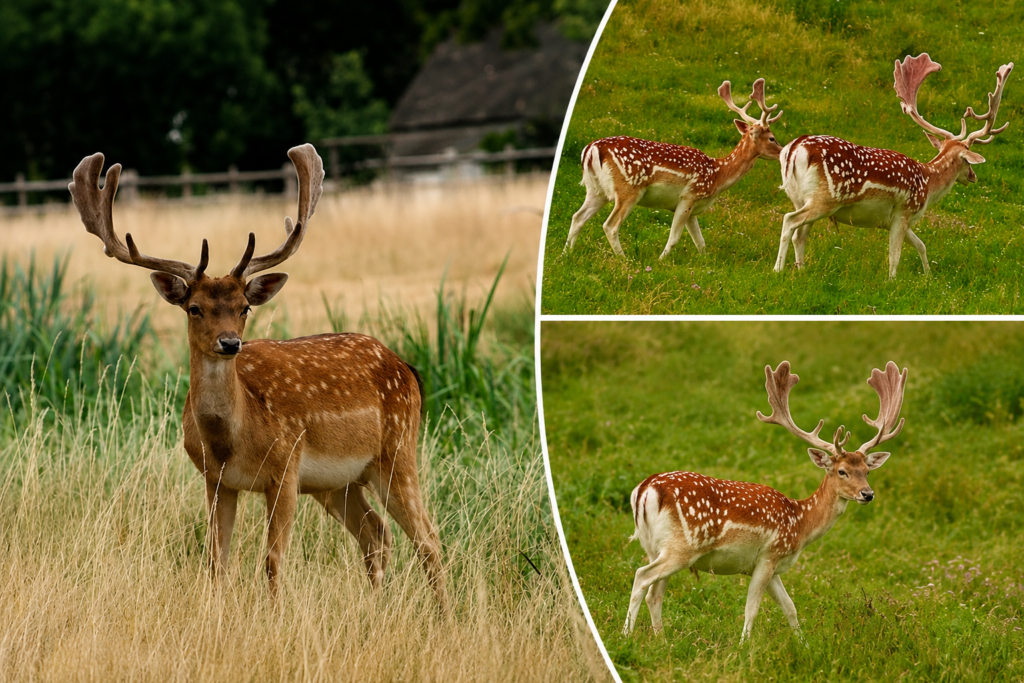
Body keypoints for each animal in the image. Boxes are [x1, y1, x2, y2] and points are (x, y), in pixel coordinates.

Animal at [67, 144, 447, 610]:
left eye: (244, 307)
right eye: (194, 308)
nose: (230, 342)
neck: (231, 439)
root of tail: (406, 368)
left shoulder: (285, 466)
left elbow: (271, 560)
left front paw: (275, 614)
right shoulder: (216, 480)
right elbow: (216, 560)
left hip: (397, 450)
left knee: (428, 538)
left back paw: (444, 615)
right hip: (336, 482)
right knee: (376, 532)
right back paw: (375, 607)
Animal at [563, 78, 784, 260]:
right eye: (772, 138)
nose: (783, 151)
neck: (718, 175)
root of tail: (592, 149)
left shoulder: (694, 207)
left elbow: (700, 241)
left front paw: (706, 263)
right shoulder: (689, 195)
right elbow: (675, 236)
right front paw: (661, 261)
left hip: (596, 189)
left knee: (577, 217)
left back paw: (565, 254)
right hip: (628, 188)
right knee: (610, 225)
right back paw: (624, 260)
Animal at [624, 360, 906, 642]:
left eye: (867, 471)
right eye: (842, 471)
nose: (867, 494)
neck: (800, 523)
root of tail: (646, 489)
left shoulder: (772, 566)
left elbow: (790, 607)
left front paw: (803, 644)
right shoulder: (769, 554)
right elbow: (752, 608)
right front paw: (744, 646)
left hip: (655, 546)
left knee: (654, 594)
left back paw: (661, 640)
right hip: (683, 546)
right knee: (641, 577)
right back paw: (626, 635)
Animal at [775, 54, 1013, 278]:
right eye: (968, 158)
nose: (973, 176)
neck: (928, 185)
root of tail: (794, 148)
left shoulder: (893, 220)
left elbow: (921, 245)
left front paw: (928, 276)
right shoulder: (904, 211)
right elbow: (895, 254)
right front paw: (892, 281)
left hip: (801, 197)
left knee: (800, 235)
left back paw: (801, 269)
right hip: (825, 199)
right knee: (789, 221)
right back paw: (778, 269)